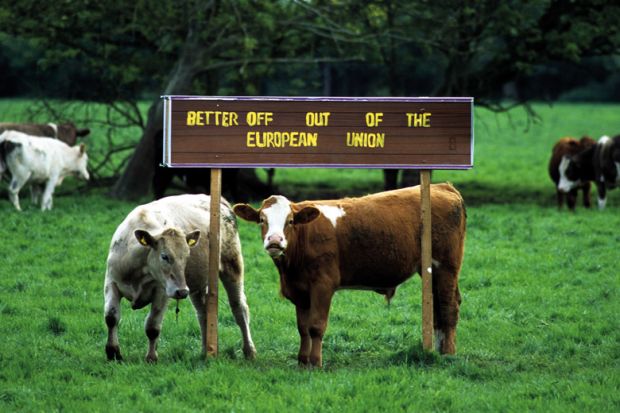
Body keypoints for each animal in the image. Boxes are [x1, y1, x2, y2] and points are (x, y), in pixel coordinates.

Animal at [104, 193, 256, 360]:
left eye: (187, 256)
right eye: (164, 256)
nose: (182, 291)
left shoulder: (162, 292)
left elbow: (152, 326)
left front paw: (151, 357)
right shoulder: (111, 282)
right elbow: (111, 317)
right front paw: (113, 352)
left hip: (232, 265)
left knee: (239, 308)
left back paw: (249, 350)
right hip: (198, 285)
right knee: (203, 313)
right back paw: (205, 351)